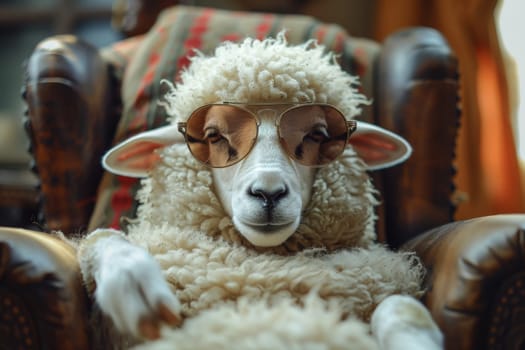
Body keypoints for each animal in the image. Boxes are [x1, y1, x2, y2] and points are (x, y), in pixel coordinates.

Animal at [74, 33, 442, 350]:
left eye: (317, 135)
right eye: (213, 135)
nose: (268, 193)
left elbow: (399, 305)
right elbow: (103, 239)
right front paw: (133, 282)